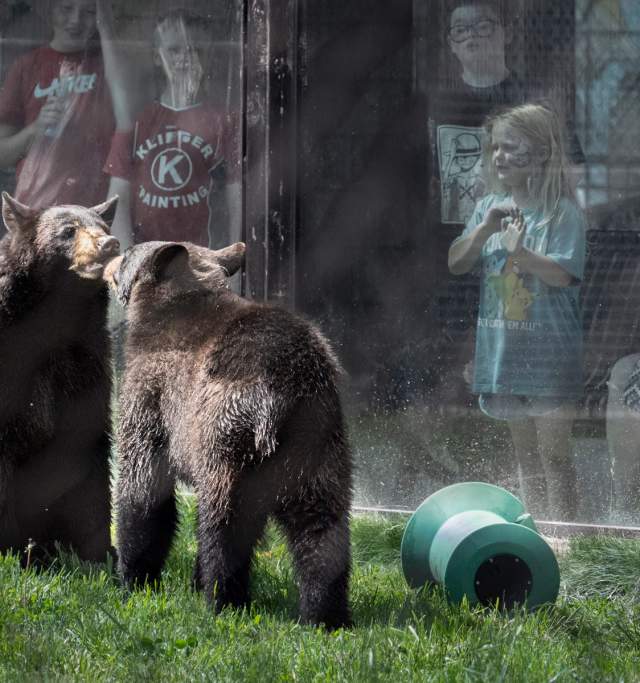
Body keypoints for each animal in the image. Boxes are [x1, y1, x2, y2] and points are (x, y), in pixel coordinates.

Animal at [0, 192, 119, 565]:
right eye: (69, 231)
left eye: (104, 226)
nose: (110, 243)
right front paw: (18, 555)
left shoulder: (87, 362)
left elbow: (87, 451)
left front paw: (102, 555)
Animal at [103, 240, 353, 629]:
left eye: (129, 255)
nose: (113, 250)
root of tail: (282, 388)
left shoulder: (149, 398)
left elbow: (143, 494)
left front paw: (134, 578)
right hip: (319, 451)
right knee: (323, 534)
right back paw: (325, 616)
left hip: (229, 444)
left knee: (226, 530)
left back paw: (223, 601)